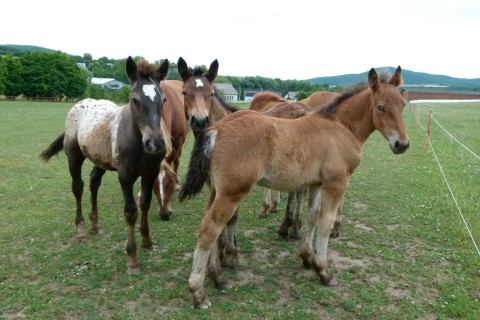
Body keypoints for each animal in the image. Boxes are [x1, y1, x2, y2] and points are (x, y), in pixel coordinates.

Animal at [40, 57, 171, 272]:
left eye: (163, 100)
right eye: (134, 100)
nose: (155, 144)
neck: (136, 138)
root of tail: (81, 103)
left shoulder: (150, 173)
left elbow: (145, 203)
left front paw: (147, 242)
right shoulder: (125, 176)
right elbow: (131, 211)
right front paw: (132, 258)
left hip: (100, 160)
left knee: (94, 183)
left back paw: (95, 224)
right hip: (74, 157)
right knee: (78, 187)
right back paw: (81, 229)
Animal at [180, 65, 408, 308]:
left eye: (403, 105)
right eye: (380, 107)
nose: (402, 144)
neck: (340, 127)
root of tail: (217, 128)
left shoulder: (316, 183)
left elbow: (312, 217)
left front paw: (307, 257)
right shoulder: (336, 183)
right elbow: (325, 224)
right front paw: (324, 271)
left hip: (216, 191)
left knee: (214, 228)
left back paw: (217, 276)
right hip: (232, 193)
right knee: (209, 229)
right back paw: (198, 292)